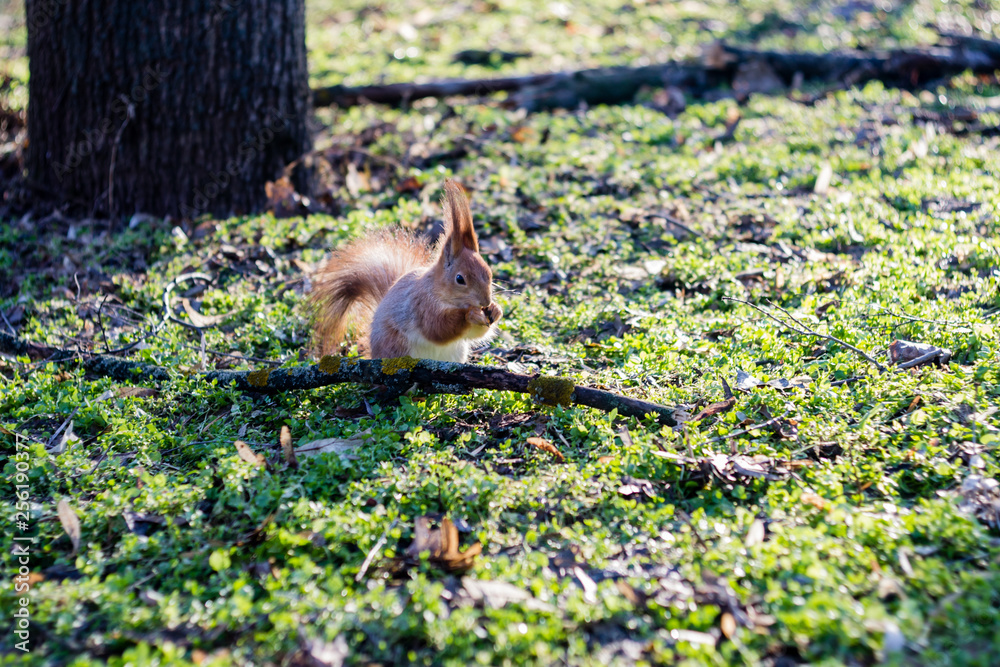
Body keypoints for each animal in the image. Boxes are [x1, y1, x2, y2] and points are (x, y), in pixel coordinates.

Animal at [310, 179, 502, 363]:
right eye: (460, 279)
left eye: (488, 272)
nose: (485, 301)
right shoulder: (421, 304)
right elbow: (438, 328)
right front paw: (471, 314)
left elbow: (475, 334)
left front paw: (495, 310)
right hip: (396, 346)